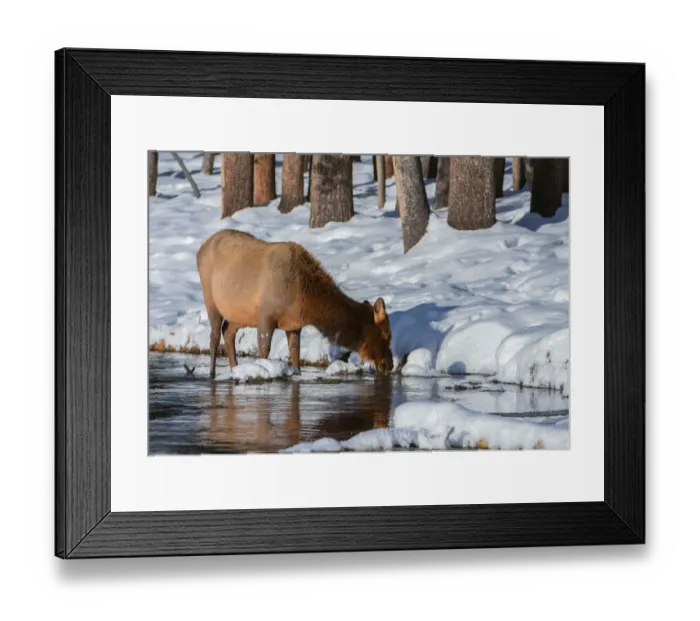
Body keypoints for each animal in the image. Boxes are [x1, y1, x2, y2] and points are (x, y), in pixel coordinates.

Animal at [196, 229, 393, 378]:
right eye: (386, 335)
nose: (389, 364)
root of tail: (200, 249)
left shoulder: (294, 325)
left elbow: (295, 357)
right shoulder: (265, 317)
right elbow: (264, 352)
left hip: (238, 313)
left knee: (228, 332)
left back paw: (234, 369)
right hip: (210, 299)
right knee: (214, 336)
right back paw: (212, 374)